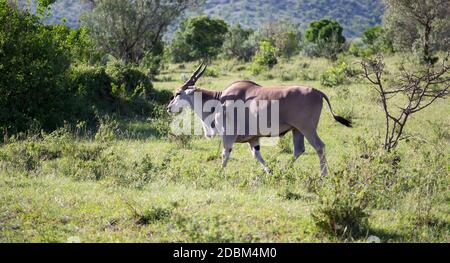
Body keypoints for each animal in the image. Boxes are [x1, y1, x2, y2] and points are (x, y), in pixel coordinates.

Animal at [167, 63, 354, 176]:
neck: (219, 99)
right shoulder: (253, 139)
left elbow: (225, 155)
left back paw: (323, 175)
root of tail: (317, 91)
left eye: (178, 93)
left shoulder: (228, 136)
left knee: (319, 147)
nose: (169, 108)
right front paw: (269, 172)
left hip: (307, 129)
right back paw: (284, 171)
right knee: (299, 150)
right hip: (297, 130)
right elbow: (257, 155)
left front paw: (219, 173)